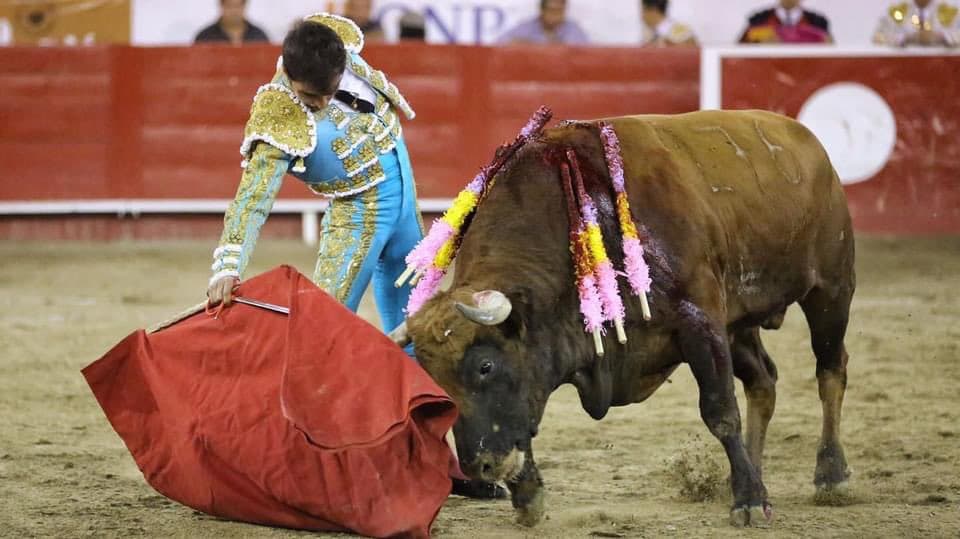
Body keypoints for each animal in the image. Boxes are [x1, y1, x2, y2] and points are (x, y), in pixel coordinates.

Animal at [394, 109, 860, 528]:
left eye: (485, 366)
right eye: (434, 379)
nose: (480, 467)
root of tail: (804, 137)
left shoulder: (701, 320)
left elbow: (720, 411)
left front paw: (748, 503)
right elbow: (524, 417)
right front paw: (527, 496)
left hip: (831, 289)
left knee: (830, 371)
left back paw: (830, 476)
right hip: (740, 323)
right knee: (764, 381)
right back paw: (754, 475)